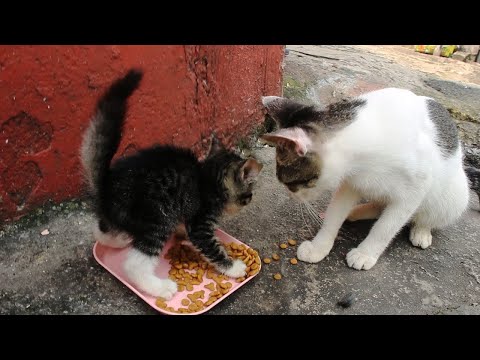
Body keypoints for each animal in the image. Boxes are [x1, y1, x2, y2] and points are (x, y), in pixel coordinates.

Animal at [81, 69, 262, 300]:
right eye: (249, 195)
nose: (249, 201)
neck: (207, 179)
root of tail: (106, 184)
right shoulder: (200, 221)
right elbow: (210, 246)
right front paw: (234, 267)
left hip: (125, 216)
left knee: (101, 229)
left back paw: (118, 239)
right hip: (158, 217)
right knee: (134, 263)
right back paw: (160, 287)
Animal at [260, 88, 470, 270]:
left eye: (290, 183)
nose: (291, 196)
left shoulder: (414, 191)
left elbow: (386, 227)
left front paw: (365, 253)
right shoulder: (350, 183)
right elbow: (334, 215)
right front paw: (319, 247)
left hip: (454, 195)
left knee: (427, 214)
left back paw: (421, 231)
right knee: (379, 205)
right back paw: (356, 212)